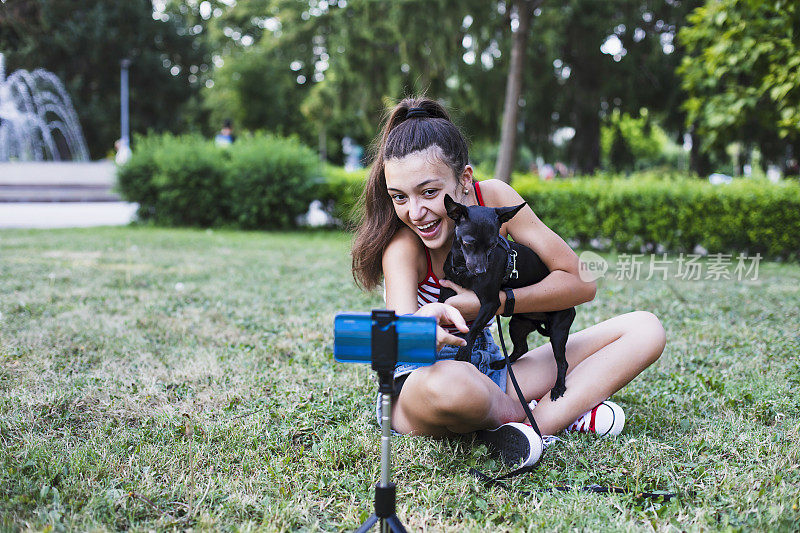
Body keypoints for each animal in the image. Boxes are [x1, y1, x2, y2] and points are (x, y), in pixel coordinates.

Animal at [438, 194, 576, 400]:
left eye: (493, 245)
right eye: (468, 243)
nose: (481, 271)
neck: (463, 267)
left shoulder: (490, 303)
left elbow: (473, 328)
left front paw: (464, 351)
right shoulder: (447, 290)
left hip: (558, 332)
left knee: (562, 362)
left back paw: (559, 387)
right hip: (517, 325)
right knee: (521, 348)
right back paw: (502, 363)